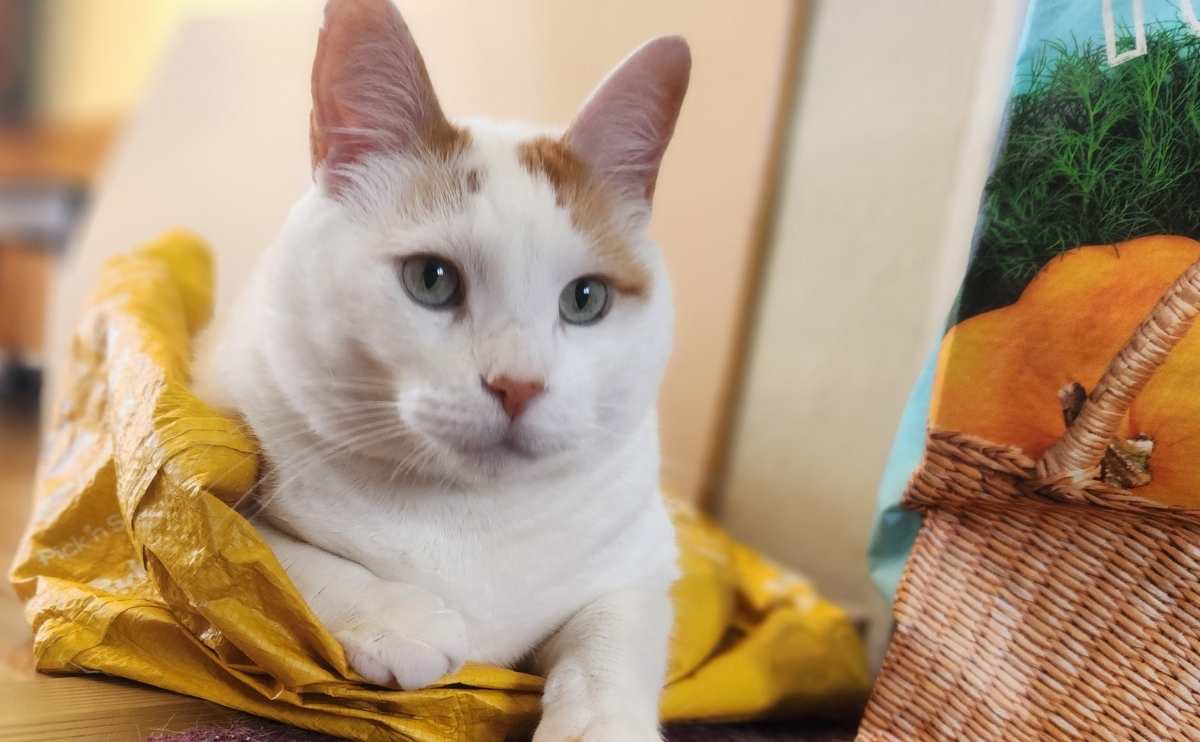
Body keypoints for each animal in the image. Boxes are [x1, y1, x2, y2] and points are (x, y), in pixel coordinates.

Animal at [193, 2, 691, 734]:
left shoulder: (646, 562)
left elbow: (618, 632)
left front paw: (602, 726)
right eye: (431, 280)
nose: (518, 385)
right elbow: (278, 557)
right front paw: (402, 618)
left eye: (586, 299)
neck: (467, 516)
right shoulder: (211, 494)